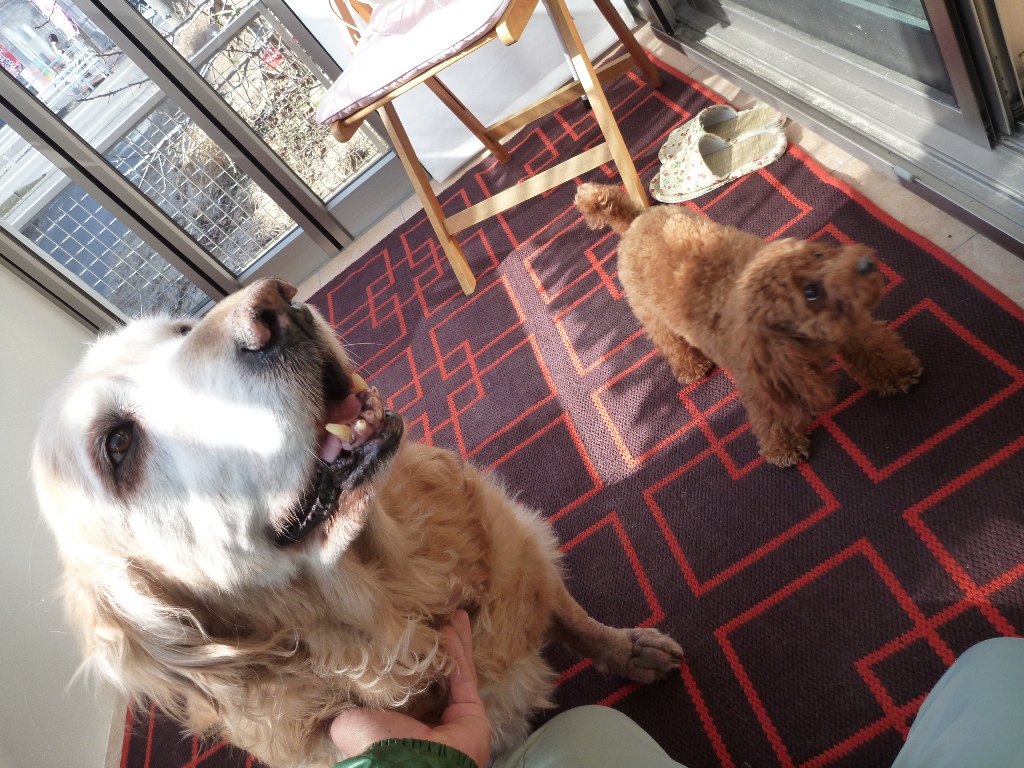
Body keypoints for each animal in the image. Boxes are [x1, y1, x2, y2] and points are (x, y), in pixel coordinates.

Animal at [31, 279, 683, 768]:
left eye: (181, 331)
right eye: (118, 446)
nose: (274, 307)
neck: (397, 590)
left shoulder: (516, 549)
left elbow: (573, 616)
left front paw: (627, 649)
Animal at [575, 183, 922, 466]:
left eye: (819, 254)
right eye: (810, 292)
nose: (866, 263)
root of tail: (635, 219)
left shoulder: (847, 329)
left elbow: (873, 349)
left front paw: (896, 372)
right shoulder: (760, 377)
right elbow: (770, 414)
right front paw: (783, 447)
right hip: (651, 316)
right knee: (671, 344)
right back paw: (690, 367)